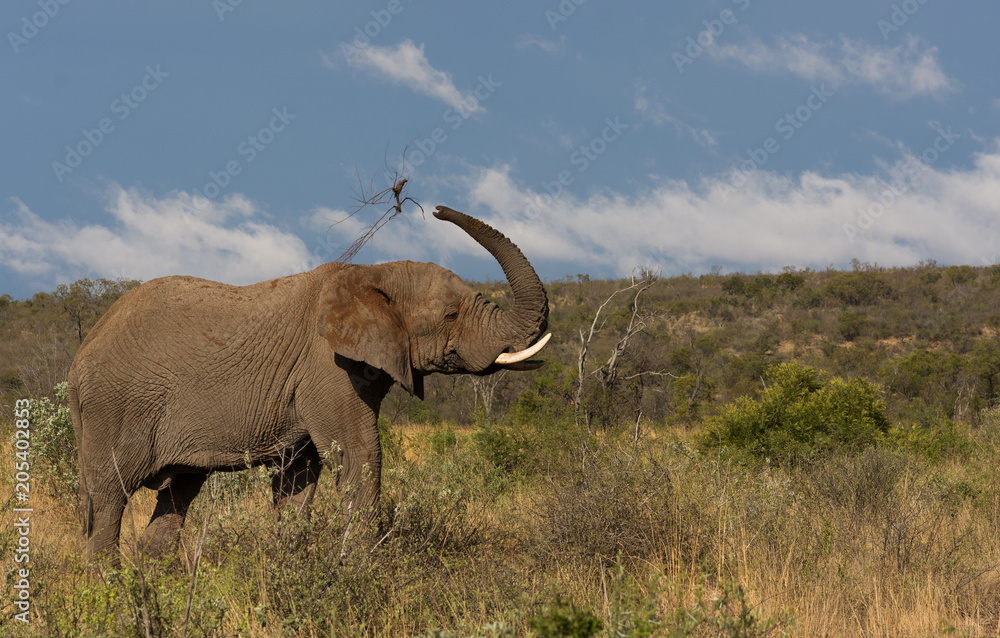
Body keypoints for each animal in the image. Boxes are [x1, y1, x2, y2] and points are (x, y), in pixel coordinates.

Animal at [68, 206, 550, 559]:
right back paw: (106, 595)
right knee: (108, 499)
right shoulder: (327, 369)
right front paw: (363, 572)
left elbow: (298, 481)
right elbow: (359, 455)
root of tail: (78, 359)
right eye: (451, 314)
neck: (374, 272)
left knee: (176, 497)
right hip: (115, 406)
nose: (435, 209)